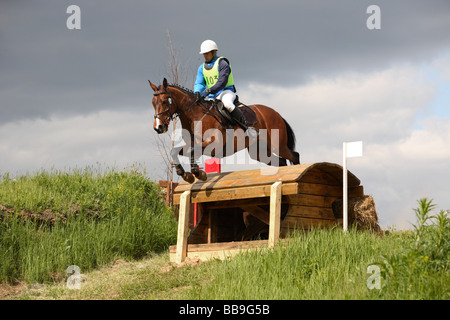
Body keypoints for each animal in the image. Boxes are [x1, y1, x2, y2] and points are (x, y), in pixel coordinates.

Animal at [149, 77, 300, 182]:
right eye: (153, 103)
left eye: (164, 102)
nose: (158, 127)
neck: (194, 116)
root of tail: (276, 113)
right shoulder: (192, 144)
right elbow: (175, 151)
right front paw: (185, 174)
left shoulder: (213, 143)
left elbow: (192, 151)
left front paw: (198, 173)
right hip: (259, 152)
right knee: (281, 162)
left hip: (277, 145)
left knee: (294, 156)